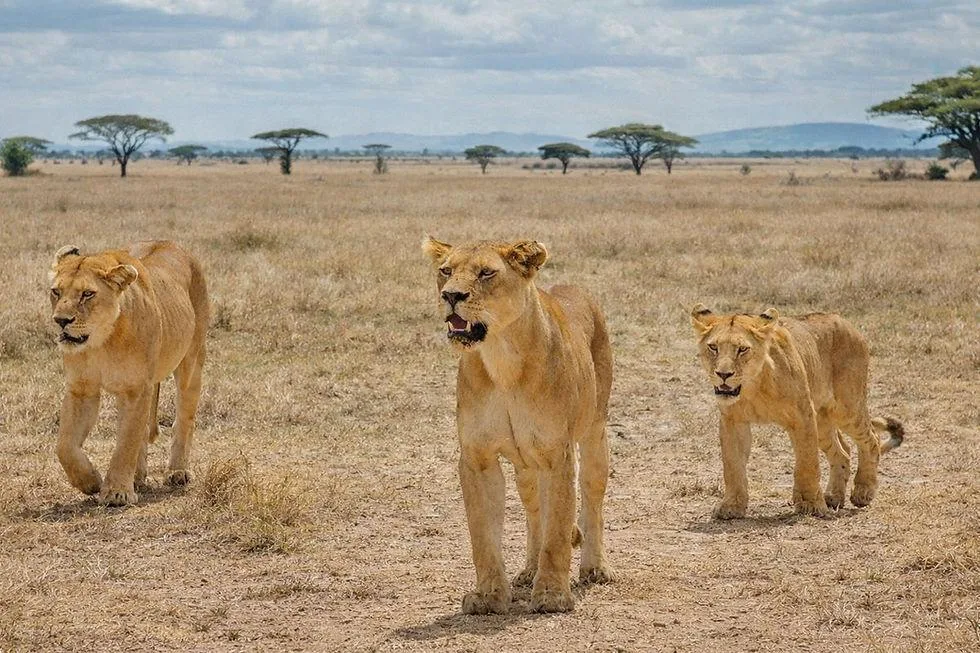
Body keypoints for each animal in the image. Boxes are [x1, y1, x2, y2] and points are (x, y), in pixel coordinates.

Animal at [49, 241, 209, 506]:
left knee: (184, 418)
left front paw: (116, 493)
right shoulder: (81, 389)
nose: (61, 320)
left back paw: (177, 472)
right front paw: (90, 481)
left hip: (191, 362)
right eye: (56, 292)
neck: (102, 342)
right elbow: (65, 446)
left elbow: (126, 442)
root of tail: (170, 243)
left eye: (87, 294)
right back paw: (137, 477)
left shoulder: (136, 390)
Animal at [423, 237, 615, 614]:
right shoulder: (477, 458)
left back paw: (594, 568)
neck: (502, 360)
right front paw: (488, 596)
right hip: (526, 467)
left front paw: (552, 595)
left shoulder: (557, 455)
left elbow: (558, 529)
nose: (450, 296)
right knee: (534, 510)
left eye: (486, 273)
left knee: (591, 497)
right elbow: (483, 536)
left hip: (594, 433)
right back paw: (528, 570)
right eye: (446, 271)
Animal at [690, 304, 904, 519]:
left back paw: (863, 492)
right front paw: (731, 507)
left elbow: (807, 463)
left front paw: (810, 505)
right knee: (843, 451)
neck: (753, 387)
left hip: (847, 407)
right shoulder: (733, 420)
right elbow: (732, 465)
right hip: (822, 420)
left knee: (872, 439)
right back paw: (833, 497)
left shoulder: (802, 417)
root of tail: (846, 322)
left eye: (742, 349)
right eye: (713, 347)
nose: (723, 374)